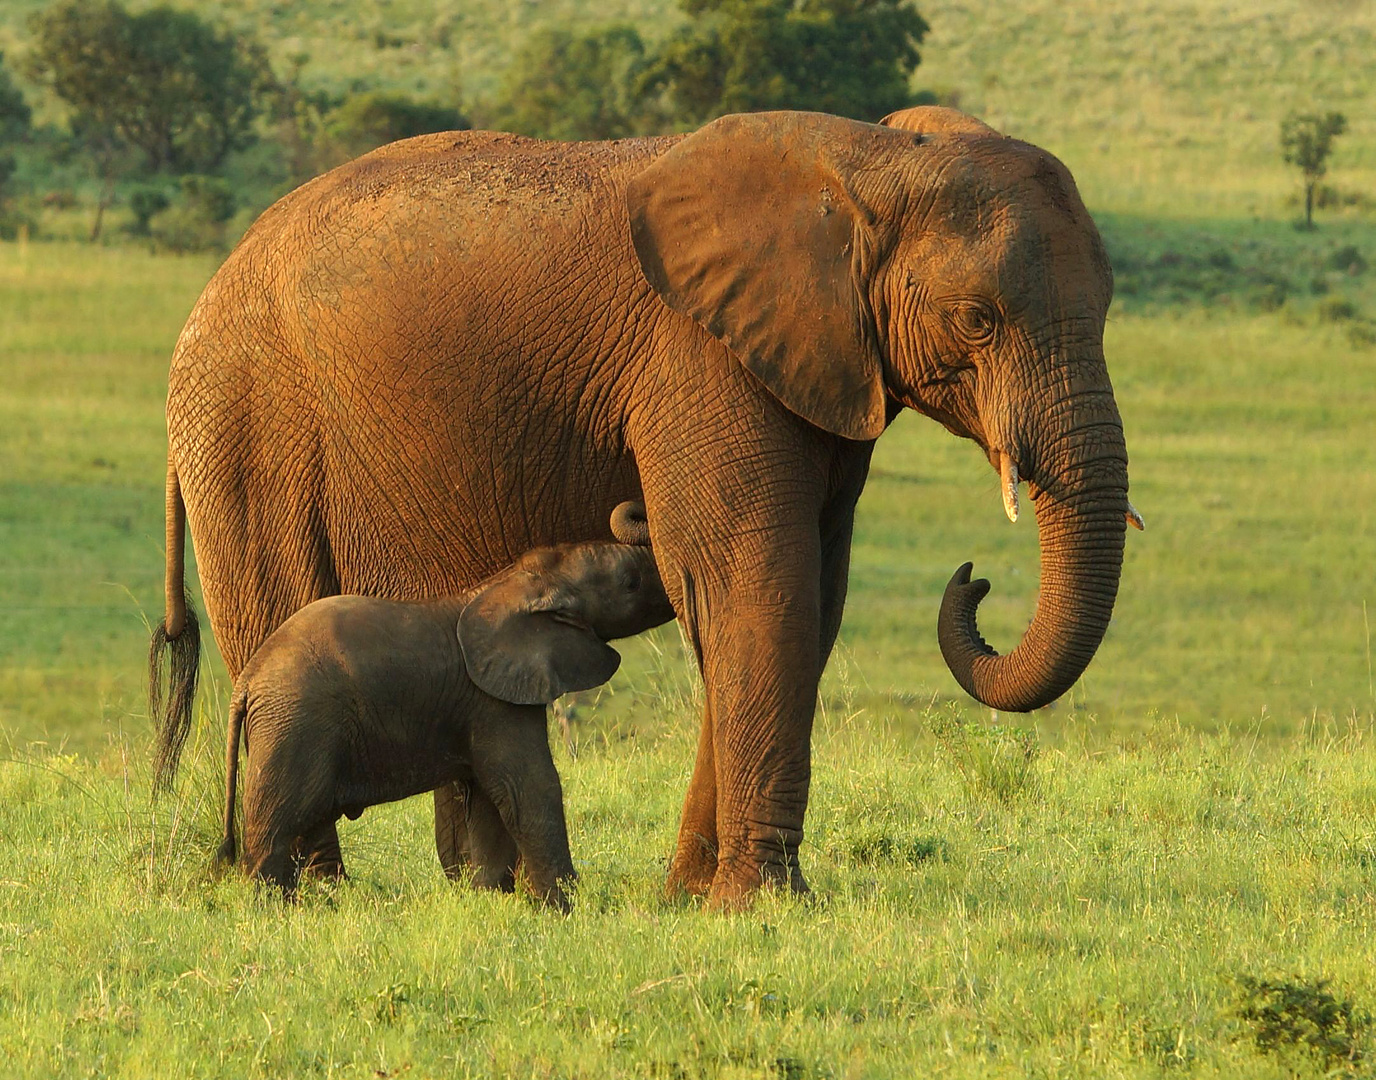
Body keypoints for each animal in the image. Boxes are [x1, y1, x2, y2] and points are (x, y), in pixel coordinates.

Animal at [217, 500, 674, 908]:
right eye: (630, 582)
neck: (512, 582)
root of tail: (248, 680)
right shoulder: (494, 701)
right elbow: (529, 787)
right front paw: (562, 910)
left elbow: (489, 801)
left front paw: (491, 903)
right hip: (295, 725)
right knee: (277, 826)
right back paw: (269, 911)